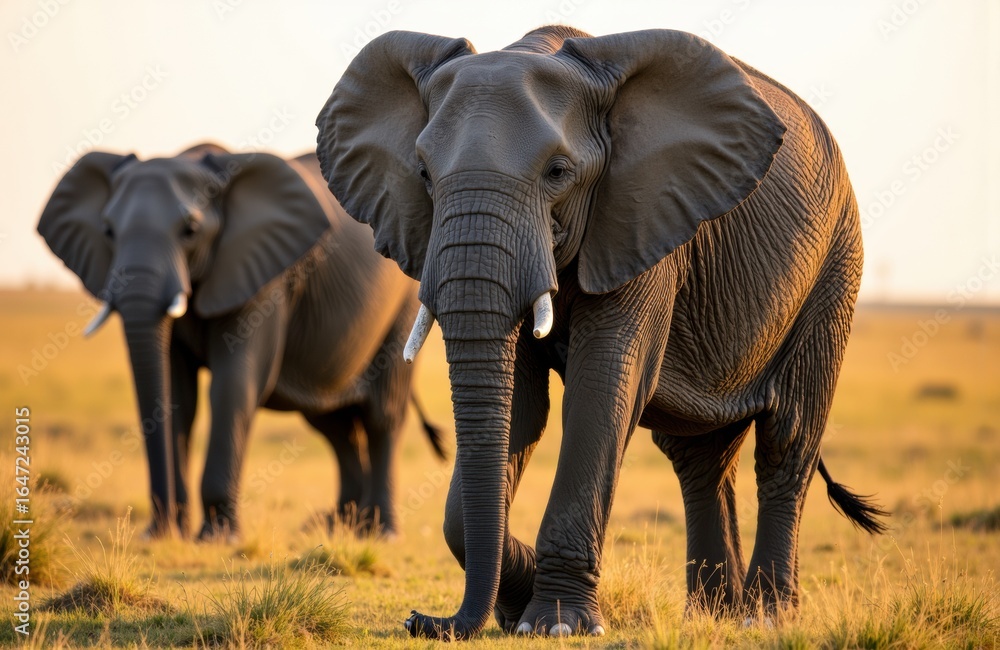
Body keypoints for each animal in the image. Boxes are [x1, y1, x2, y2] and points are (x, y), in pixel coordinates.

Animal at [38, 143, 445, 541]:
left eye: (190, 230)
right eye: (107, 231)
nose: (157, 530)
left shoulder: (265, 278)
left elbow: (234, 384)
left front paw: (218, 538)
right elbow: (177, 395)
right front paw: (173, 534)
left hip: (402, 307)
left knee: (381, 415)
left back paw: (381, 533)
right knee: (333, 423)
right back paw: (341, 529)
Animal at [316, 25, 889, 639]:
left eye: (558, 173)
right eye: (423, 173)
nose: (418, 619)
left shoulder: (643, 216)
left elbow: (603, 387)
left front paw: (557, 625)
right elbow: (519, 406)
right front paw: (521, 606)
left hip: (835, 268)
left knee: (787, 441)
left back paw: (765, 618)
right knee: (701, 458)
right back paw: (712, 616)